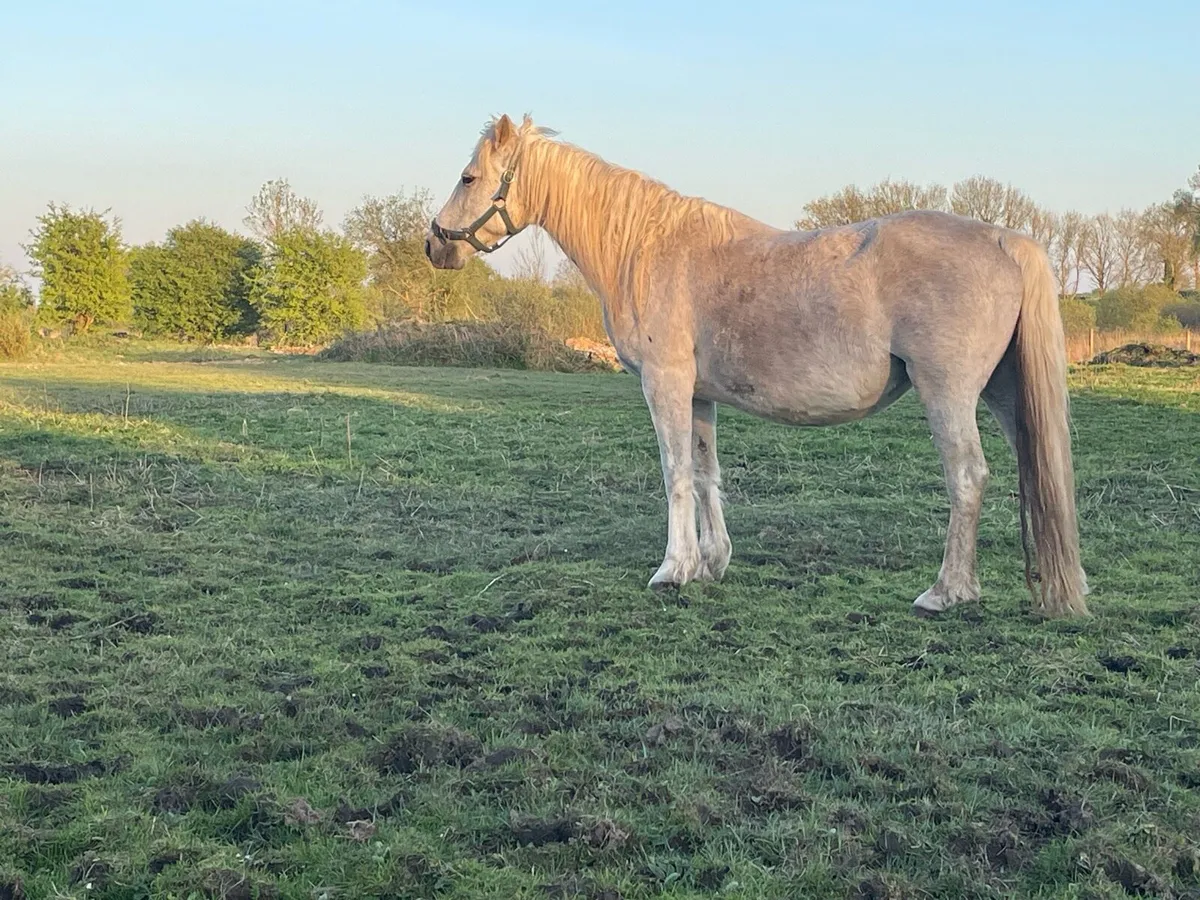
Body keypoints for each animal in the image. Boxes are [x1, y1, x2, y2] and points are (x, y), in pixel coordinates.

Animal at [425, 114, 1088, 618]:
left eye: (468, 176)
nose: (434, 244)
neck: (648, 248)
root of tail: (1004, 239)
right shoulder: (699, 394)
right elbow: (704, 472)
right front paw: (711, 562)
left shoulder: (665, 385)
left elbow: (674, 473)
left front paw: (673, 569)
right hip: (1004, 394)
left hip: (946, 393)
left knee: (967, 477)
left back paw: (945, 592)